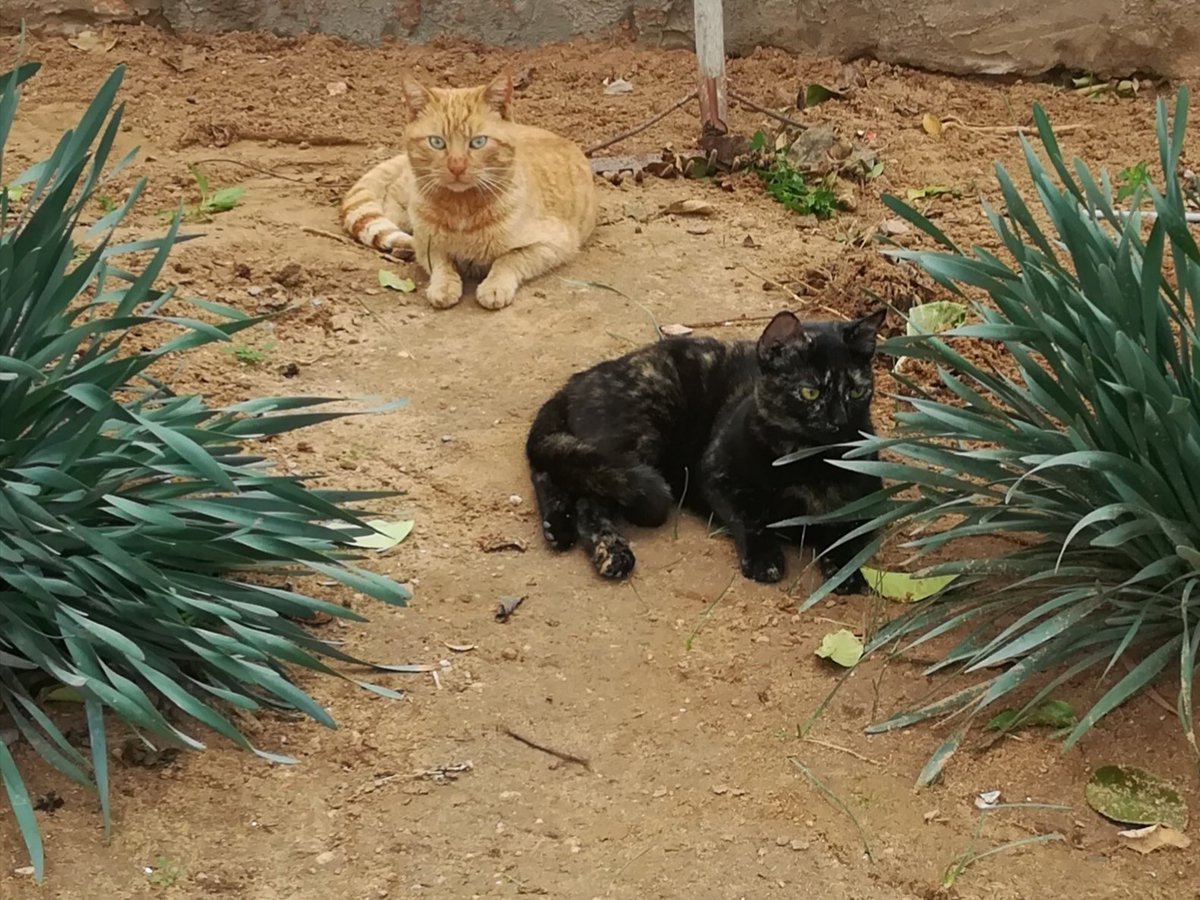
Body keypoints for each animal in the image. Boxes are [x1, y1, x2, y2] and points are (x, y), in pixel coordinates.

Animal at [343, 71, 595, 309]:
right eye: (437, 142)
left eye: (478, 142)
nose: (456, 166)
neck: (462, 207)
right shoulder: (427, 242)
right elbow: (441, 262)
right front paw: (444, 285)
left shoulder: (555, 244)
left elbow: (509, 259)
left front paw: (494, 287)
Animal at [528, 309, 892, 592]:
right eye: (810, 392)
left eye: (856, 391)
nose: (839, 422)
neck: (806, 463)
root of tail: (579, 379)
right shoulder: (718, 475)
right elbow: (750, 518)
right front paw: (764, 559)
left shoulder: (870, 498)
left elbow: (848, 532)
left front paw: (845, 572)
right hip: (642, 438)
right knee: (588, 497)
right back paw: (611, 554)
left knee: (555, 471)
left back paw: (557, 527)